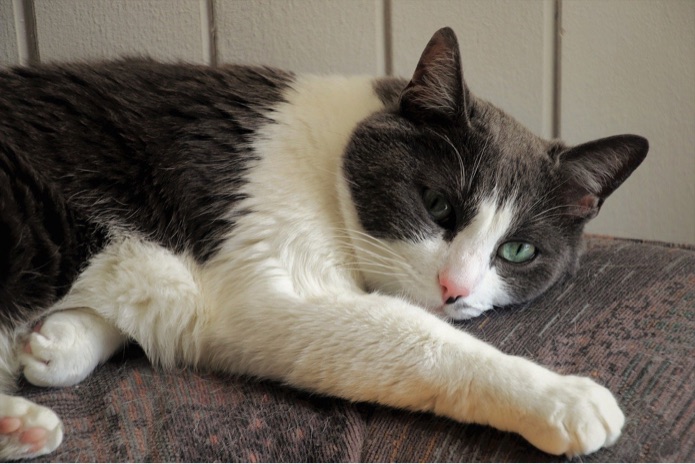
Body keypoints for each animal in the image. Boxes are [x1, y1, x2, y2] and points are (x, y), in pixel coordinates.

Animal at [0, 27, 648, 458]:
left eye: (517, 252)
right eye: (437, 205)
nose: (454, 289)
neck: (334, 152)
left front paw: (58, 341)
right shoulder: (275, 280)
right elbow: (423, 343)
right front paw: (560, 397)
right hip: (36, 222)